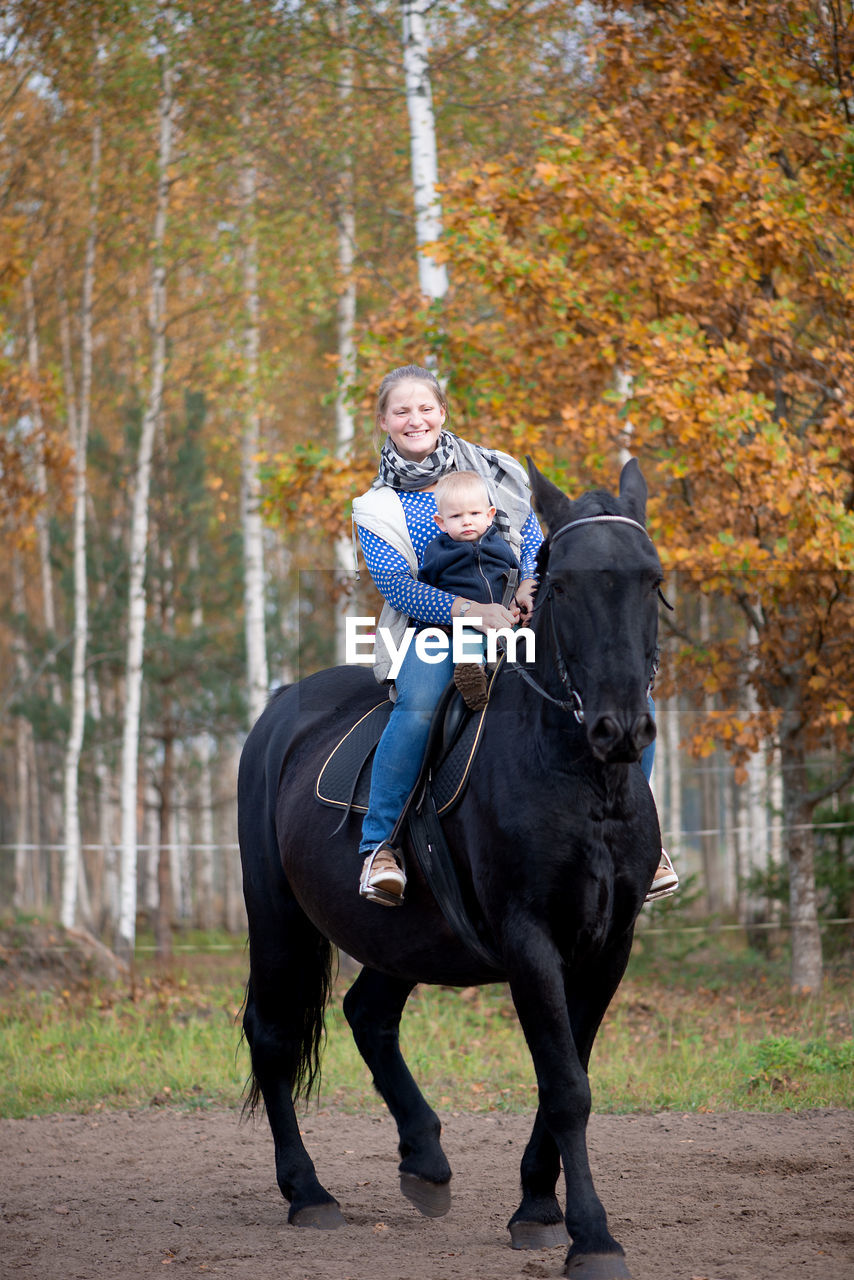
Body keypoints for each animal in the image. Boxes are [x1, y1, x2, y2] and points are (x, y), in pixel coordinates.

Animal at [236, 463, 665, 1280]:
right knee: (271, 1034)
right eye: (564, 587)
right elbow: (567, 1088)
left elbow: (566, 1075)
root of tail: (278, 716)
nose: (620, 727)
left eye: (653, 579)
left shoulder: (609, 946)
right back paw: (308, 1192)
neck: (580, 782)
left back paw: (425, 1160)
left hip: (404, 936)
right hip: (276, 917)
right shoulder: (530, 940)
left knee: (368, 1016)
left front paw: (537, 1209)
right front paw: (593, 1238)